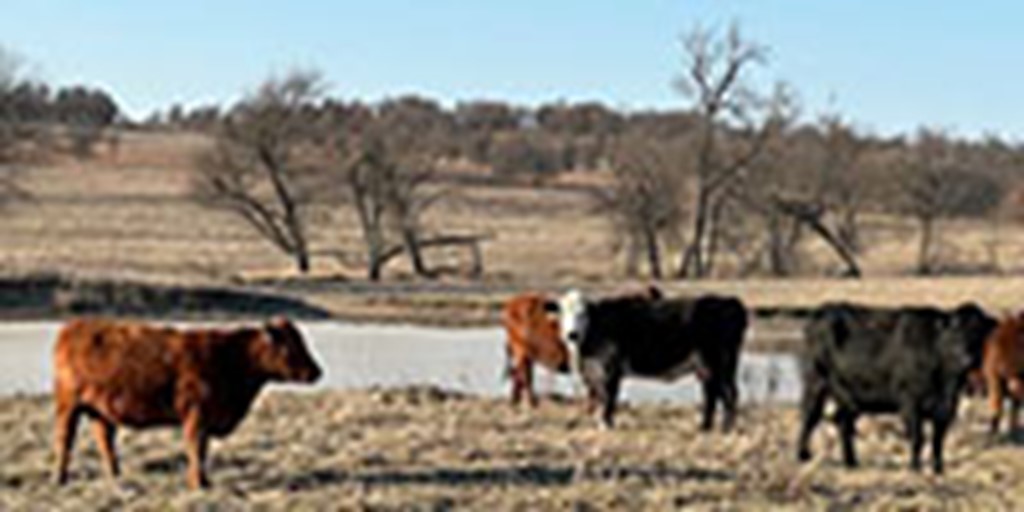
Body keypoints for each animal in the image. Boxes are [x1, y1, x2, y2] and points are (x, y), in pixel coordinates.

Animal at [51, 315, 321, 487]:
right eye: (291, 346)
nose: (316, 372)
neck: (231, 357)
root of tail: (71, 328)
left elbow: (203, 450)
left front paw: (204, 482)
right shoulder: (197, 416)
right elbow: (196, 449)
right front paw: (199, 483)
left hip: (101, 411)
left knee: (105, 440)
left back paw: (116, 476)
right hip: (68, 406)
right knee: (65, 441)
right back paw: (60, 479)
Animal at [503, 284, 663, 407]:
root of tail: (514, 302)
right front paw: (591, 407)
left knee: (519, 376)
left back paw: (515, 402)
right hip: (521, 352)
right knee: (525, 376)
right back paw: (531, 403)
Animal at [557, 290, 749, 430]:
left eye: (583, 314)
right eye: (562, 313)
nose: (572, 334)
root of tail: (727, 301)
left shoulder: (611, 368)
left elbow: (609, 396)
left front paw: (606, 424)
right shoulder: (595, 372)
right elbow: (598, 395)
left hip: (711, 363)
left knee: (718, 393)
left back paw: (711, 427)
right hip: (719, 366)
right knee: (724, 392)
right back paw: (720, 427)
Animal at [794, 301, 995, 473]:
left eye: (979, 333)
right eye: (956, 330)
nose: (968, 358)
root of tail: (822, 311)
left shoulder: (945, 409)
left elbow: (938, 440)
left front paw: (939, 469)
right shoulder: (910, 402)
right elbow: (918, 438)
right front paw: (914, 468)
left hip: (849, 396)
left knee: (842, 422)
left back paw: (851, 462)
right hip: (815, 382)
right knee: (810, 416)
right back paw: (802, 455)